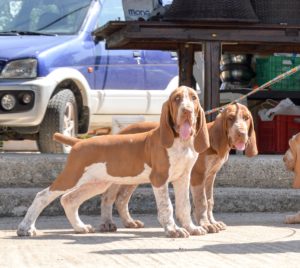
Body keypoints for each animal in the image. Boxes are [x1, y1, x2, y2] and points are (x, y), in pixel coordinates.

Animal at [16, 86, 209, 239]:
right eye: (177, 99)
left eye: (193, 98)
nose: (187, 111)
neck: (180, 142)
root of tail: (78, 142)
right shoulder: (159, 178)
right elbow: (166, 206)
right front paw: (172, 230)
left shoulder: (183, 177)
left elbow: (184, 206)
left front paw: (191, 228)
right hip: (72, 176)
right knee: (43, 196)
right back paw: (25, 228)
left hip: (97, 182)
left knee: (68, 199)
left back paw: (80, 227)